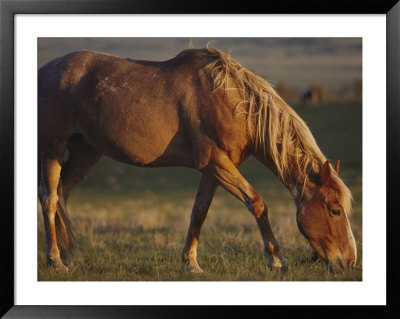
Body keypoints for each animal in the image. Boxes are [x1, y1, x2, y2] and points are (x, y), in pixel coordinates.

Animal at [37, 47, 356, 276]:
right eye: (335, 210)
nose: (350, 261)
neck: (232, 102)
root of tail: (45, 71)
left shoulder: (214, 169)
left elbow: (199, 212)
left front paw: (190, 263)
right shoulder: (215, 163)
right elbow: (257, 203)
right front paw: (276, 260)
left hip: (86, 152)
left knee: (62, 194)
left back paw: (67, 254)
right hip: (53, 148)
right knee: (49, 198)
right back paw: (56, 260)